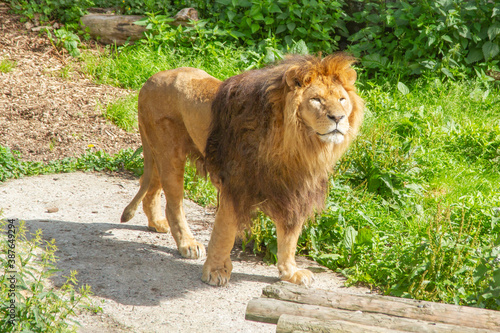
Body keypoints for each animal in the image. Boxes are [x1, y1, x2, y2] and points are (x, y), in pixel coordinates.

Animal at [121, 53, 364, 286]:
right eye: (316, 100)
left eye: (342, 100)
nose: (338, 117)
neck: (298, 145)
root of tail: (151, 79)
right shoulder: (235, 186)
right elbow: (225, 232)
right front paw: (216, 270)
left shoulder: (294, 192)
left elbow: (289, 238)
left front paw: (290, 272)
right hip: (169, 153)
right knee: (173, 205)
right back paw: (187, 243)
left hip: (161, 154)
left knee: (151, 187)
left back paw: (155, 223)